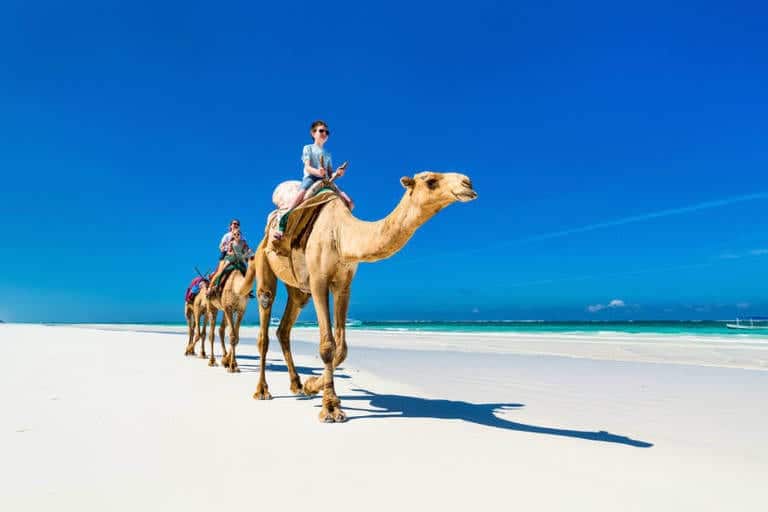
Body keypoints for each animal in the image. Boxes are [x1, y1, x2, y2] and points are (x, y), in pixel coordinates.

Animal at [251, 171, 477, 422]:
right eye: (430, 181)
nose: (467, 183)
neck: (341, 235)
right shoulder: (319, 281)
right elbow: (328, 345)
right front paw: (330, 408)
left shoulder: (344, 285)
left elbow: (342, 348)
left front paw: (312, 386)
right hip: (264, 259)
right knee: (265, 314)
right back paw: (262, 390)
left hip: (299, 289)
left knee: (285, 327)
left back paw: (297, 385)